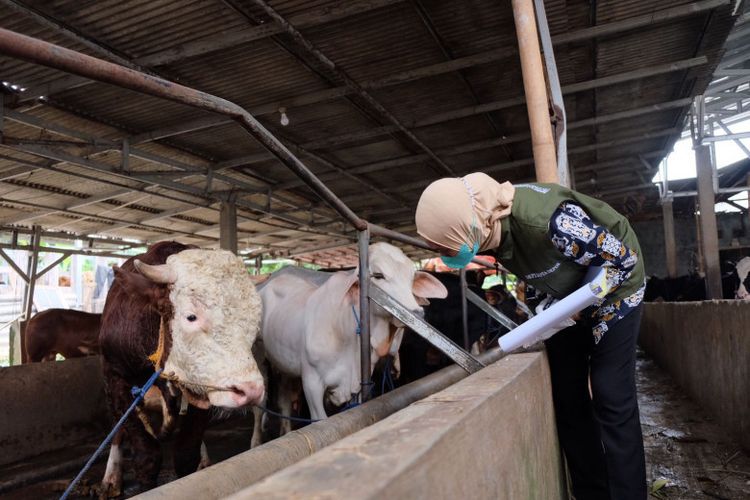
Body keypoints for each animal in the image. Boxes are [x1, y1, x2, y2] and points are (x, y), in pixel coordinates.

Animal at [98, 242, 266, 496]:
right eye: (191, 316)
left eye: (255, 320)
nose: (251, 390)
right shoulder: (115, 377)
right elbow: (146, 456)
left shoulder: (201, 387)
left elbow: (186, 453)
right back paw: (111, 477)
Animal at [256, 242, 450, 434]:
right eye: (378, 275)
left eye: (411, 278)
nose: (417, 313)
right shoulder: (312, 383)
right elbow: (320, 421)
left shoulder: (357, 384)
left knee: (284, 400)